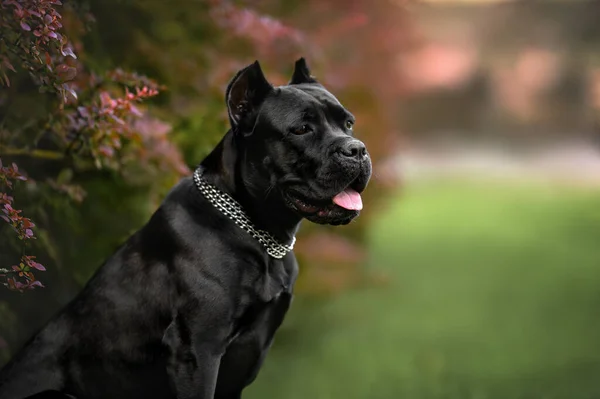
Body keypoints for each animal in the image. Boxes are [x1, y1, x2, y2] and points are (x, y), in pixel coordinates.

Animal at [0, 59, 370, 399]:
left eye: (348, 123)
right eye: (301, 129)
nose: (357, 149)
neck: (260, 234)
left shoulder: (247, 353)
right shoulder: (199, 349)